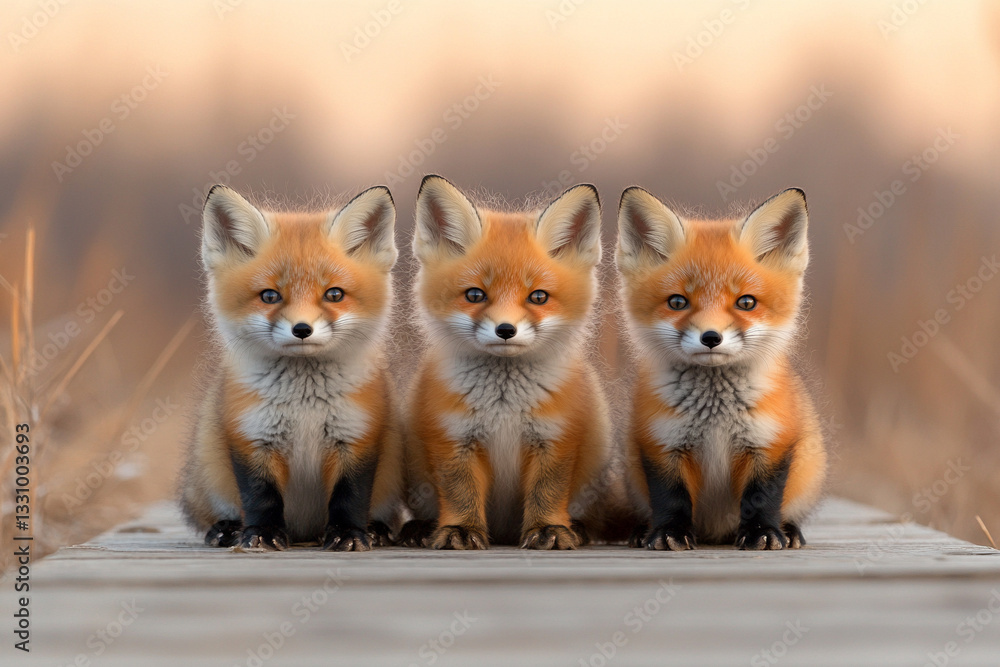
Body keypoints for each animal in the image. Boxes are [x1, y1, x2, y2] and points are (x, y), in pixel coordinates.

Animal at [179, 184, 403, 551]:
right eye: (270, 296)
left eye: (334, 294)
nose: (302, 329)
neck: (304, 407)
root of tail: (305, 533)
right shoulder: (252, 437)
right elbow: (260, 496)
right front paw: (262, 533)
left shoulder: (357, 436)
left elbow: (351, 496)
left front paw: (349, 534)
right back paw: (227, 528)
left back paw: (376, 529)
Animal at [398, 175, 613, 550]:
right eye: (475, 295)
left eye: (538, 297)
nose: (505, 330)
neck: (504, 406)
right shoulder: (454, 438)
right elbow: (460, 494)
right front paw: (460, 530)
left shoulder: (555, 438)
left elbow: (546, 493)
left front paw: (547, 528)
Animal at [615, 186, 826, 551]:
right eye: (677, 302)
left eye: (746, 302)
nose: (711, 338)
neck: (715, 417)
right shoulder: (662, 443)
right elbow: (671, 497)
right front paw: (668, 533)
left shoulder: (770, 442)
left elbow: (761, 497)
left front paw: (762, 533)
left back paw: (789, 530)